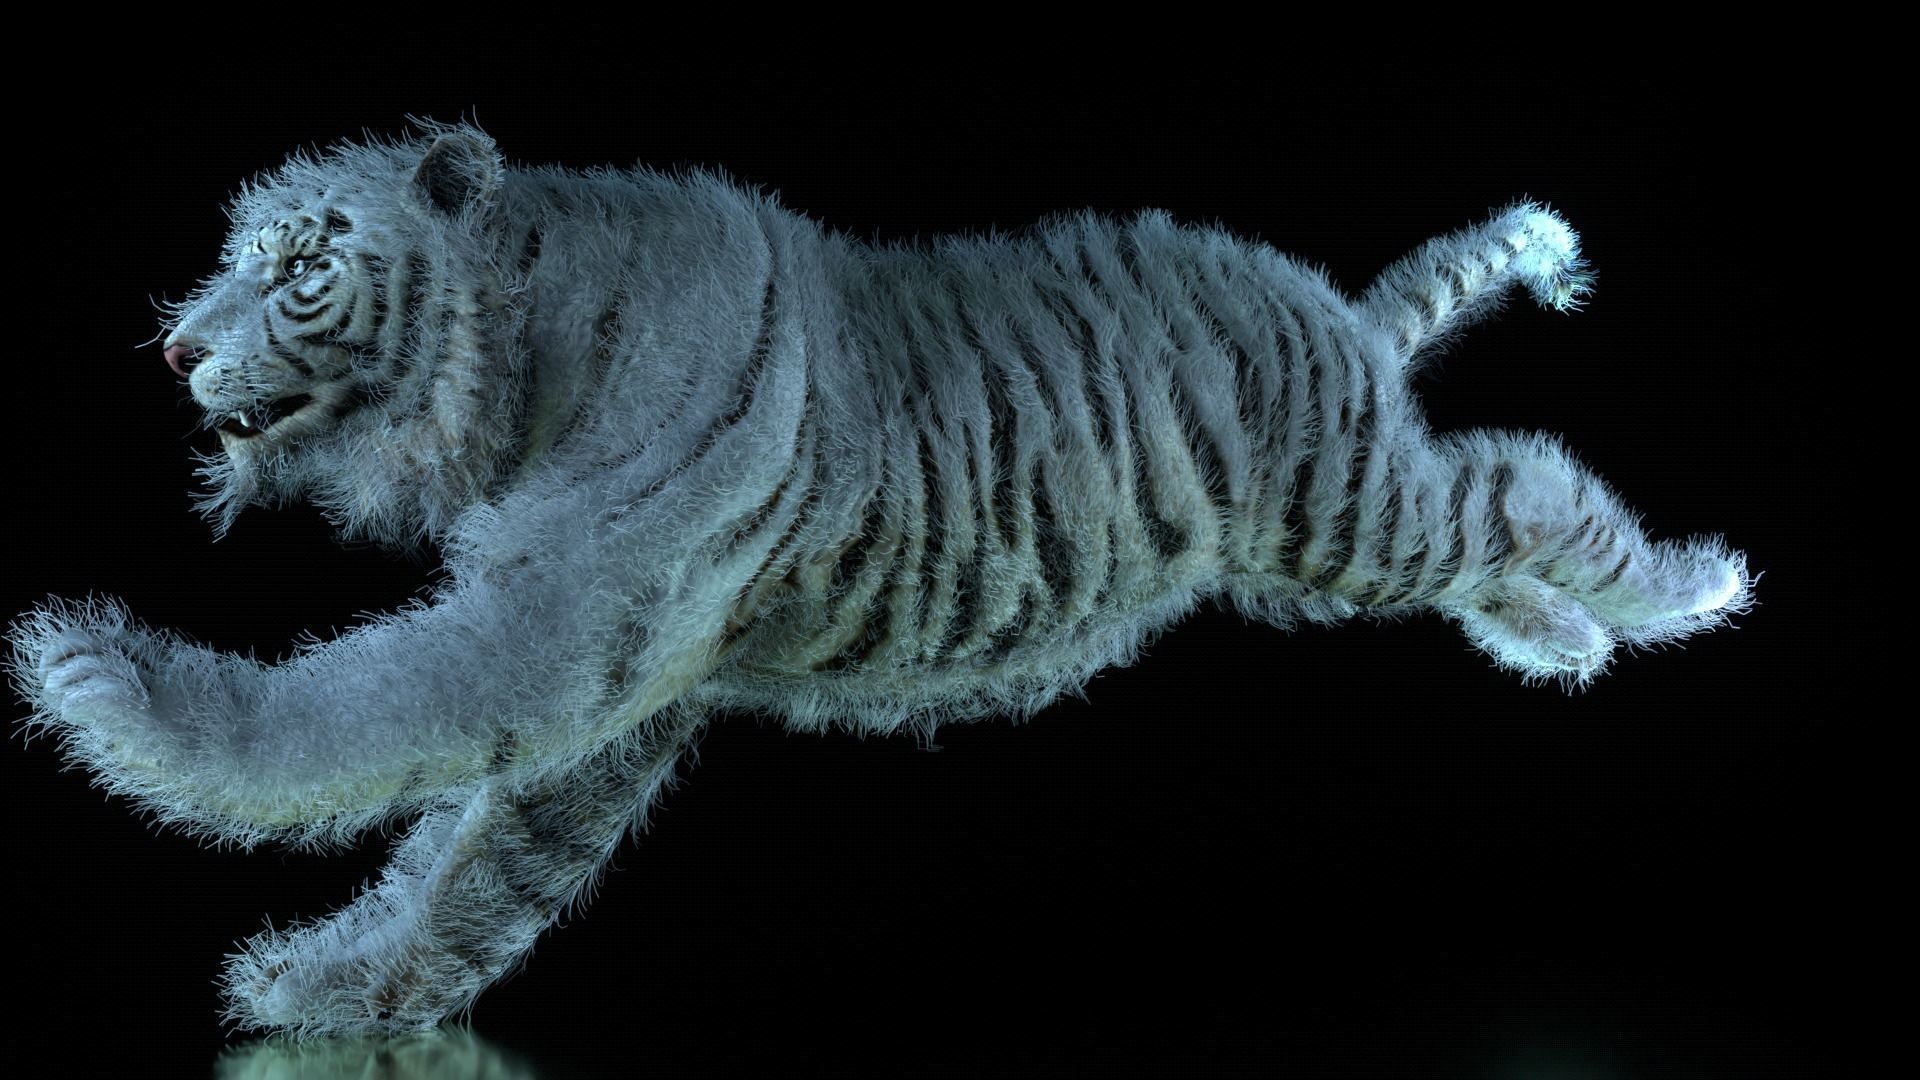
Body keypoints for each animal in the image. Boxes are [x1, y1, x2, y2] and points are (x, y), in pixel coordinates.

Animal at [8, 120, 1754, 1038]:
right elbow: (471, 862)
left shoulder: (559, 624)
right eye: (231, 257)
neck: (521, 366)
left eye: (304, 267)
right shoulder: (616, 683)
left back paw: (1691, 586)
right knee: (1495, 518)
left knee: (1520, 483)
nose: (174, 347)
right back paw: (1563, 639)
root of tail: (1327, 303)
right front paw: (337, 984)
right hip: (1318, 558)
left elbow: (349, 715)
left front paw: (97, 677)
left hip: (1350, 510)